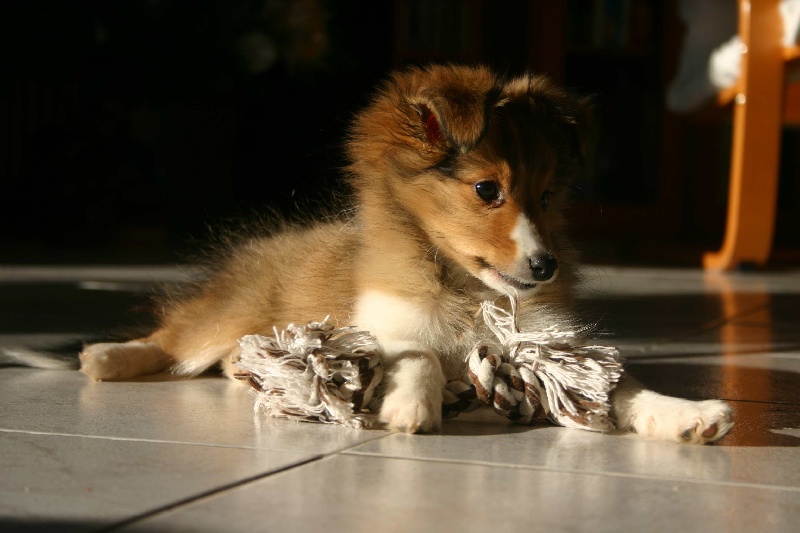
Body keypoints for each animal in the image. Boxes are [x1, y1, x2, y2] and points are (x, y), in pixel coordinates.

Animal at [79, 64, 732, 442]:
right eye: (486, 190)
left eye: (547, 196)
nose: (544, 267)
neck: (469, 291)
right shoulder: (380, 322)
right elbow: (417, 353)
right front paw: (412, 407)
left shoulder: (552, 343)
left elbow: (621, 388)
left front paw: (689, 414)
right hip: (230, 314)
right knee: (174, 339)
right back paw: (106, 357)